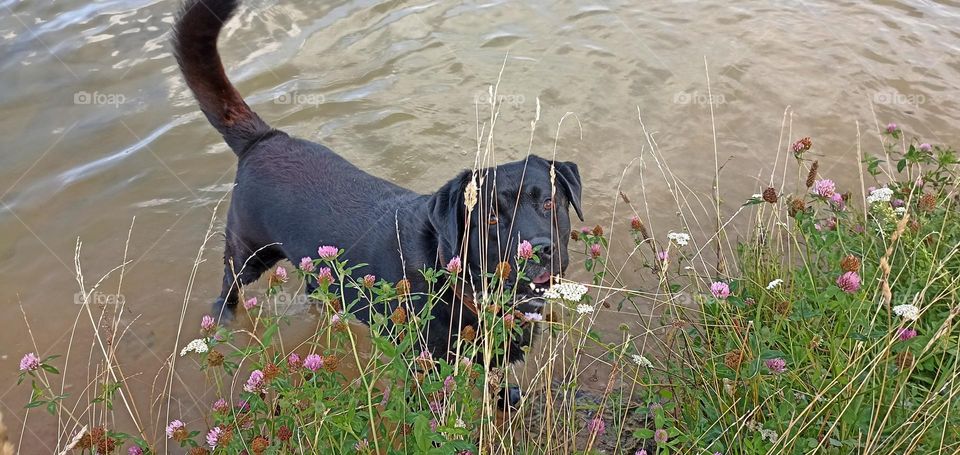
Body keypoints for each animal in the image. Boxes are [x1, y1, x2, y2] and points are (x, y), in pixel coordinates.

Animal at [172, 0, 580, 370]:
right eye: (491, 220)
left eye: (549, 203)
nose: (541, 250)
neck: (449, 274)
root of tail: (264, 138)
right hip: (248, 253)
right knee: (229, 286)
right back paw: (222, 317)